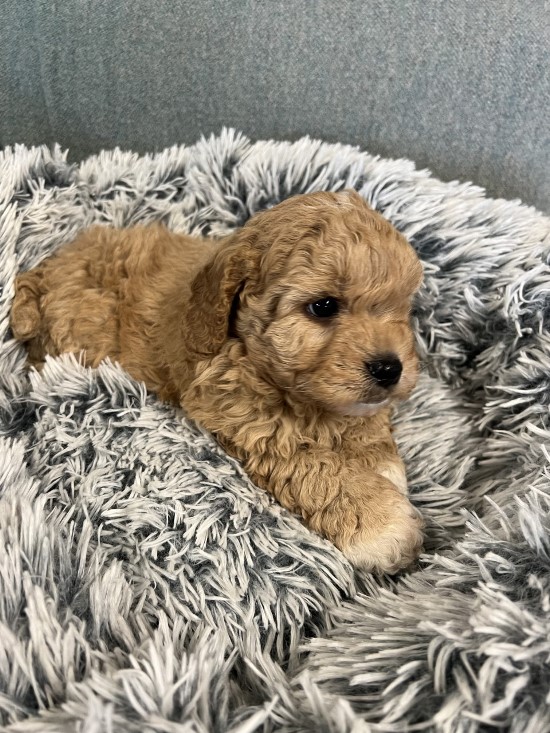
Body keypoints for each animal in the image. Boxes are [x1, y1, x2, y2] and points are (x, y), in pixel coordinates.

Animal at [11, 192, 426, 576]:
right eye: (323, 306)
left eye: (402, 307)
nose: (389, 368)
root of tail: (49, 267)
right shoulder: (246, 420)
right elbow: (315, 466)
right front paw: (378, 520)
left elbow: (367, 420)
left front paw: (379, 458)